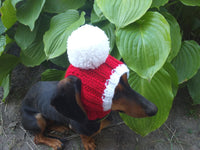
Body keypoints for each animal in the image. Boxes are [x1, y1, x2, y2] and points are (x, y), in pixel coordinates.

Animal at [21, 74, 157, 150]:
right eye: (113, 92)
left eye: (127, 81)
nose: (154, 109)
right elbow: (85, 136)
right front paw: (88, 143)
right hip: (37, 118)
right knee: (38, 138)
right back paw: (54, 142)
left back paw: (61, 127)